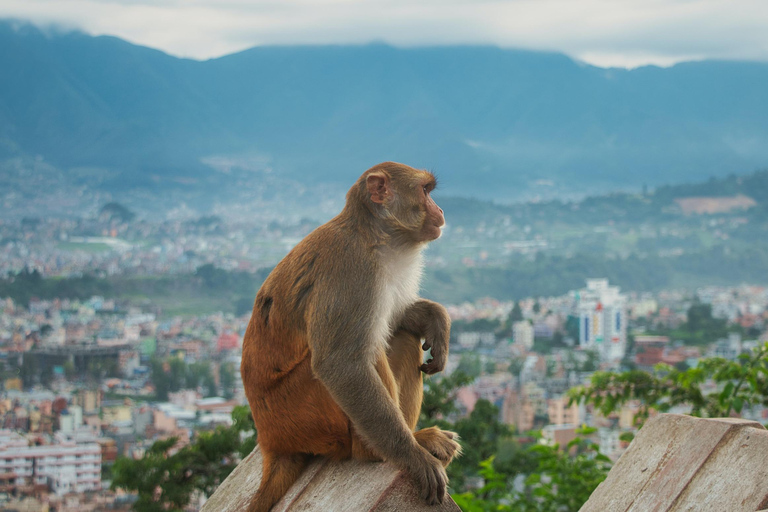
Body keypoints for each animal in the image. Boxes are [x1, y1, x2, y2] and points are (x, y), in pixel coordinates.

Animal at [240, 162, 460, 510]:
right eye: (425, 191)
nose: (439, 210)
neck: (373, 236)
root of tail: (270, 441)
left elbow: (395, 317)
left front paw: (437, 320)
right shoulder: (353, 271)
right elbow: (340, 365)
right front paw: (414, 458)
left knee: (402, 337)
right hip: (303, 410)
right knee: (361, 357)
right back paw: (390, 448)